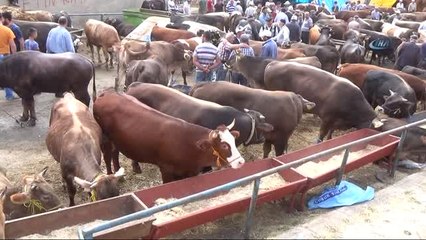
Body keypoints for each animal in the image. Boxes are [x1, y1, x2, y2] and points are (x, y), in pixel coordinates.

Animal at [93, 89, 246, 182]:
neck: (187, 143)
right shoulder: (166, 170)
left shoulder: (189, 172)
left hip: (116, 138)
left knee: (115, 153)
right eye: (224, 145)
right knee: (107, 155)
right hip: (105, 137)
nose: (241, 162)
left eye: (234, 141)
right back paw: (110, 175)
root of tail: (107, 93)